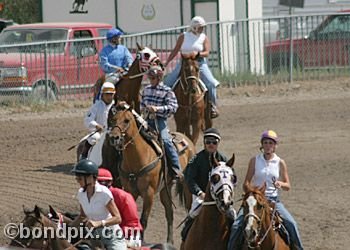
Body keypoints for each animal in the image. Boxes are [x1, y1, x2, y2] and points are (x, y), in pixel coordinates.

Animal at [104, 102, 197, 243]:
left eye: (127, 120)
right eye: (112, 120)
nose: (114, 138)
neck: (138, 157)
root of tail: (188, 140)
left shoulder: (149, 193)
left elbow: (143, 220)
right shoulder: (130, 191)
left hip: (186, 186)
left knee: (188, 207)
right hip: (165, 189)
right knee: (169, 212)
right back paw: (169, 241)